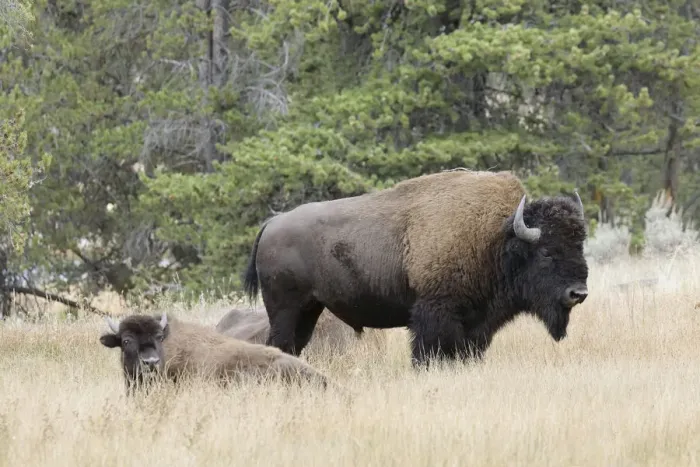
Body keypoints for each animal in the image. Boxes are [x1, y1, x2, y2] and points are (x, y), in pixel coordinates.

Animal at [242, 170, 589, 366]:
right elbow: (426, 353)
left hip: (309, 309)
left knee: (294, 345)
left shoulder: (477, 327)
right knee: (281, 343)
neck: (495, 238)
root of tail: (272, 223)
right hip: (285, 309)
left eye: (580, 244)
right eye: (546, 252)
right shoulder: (433, 316)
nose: (579, 293)